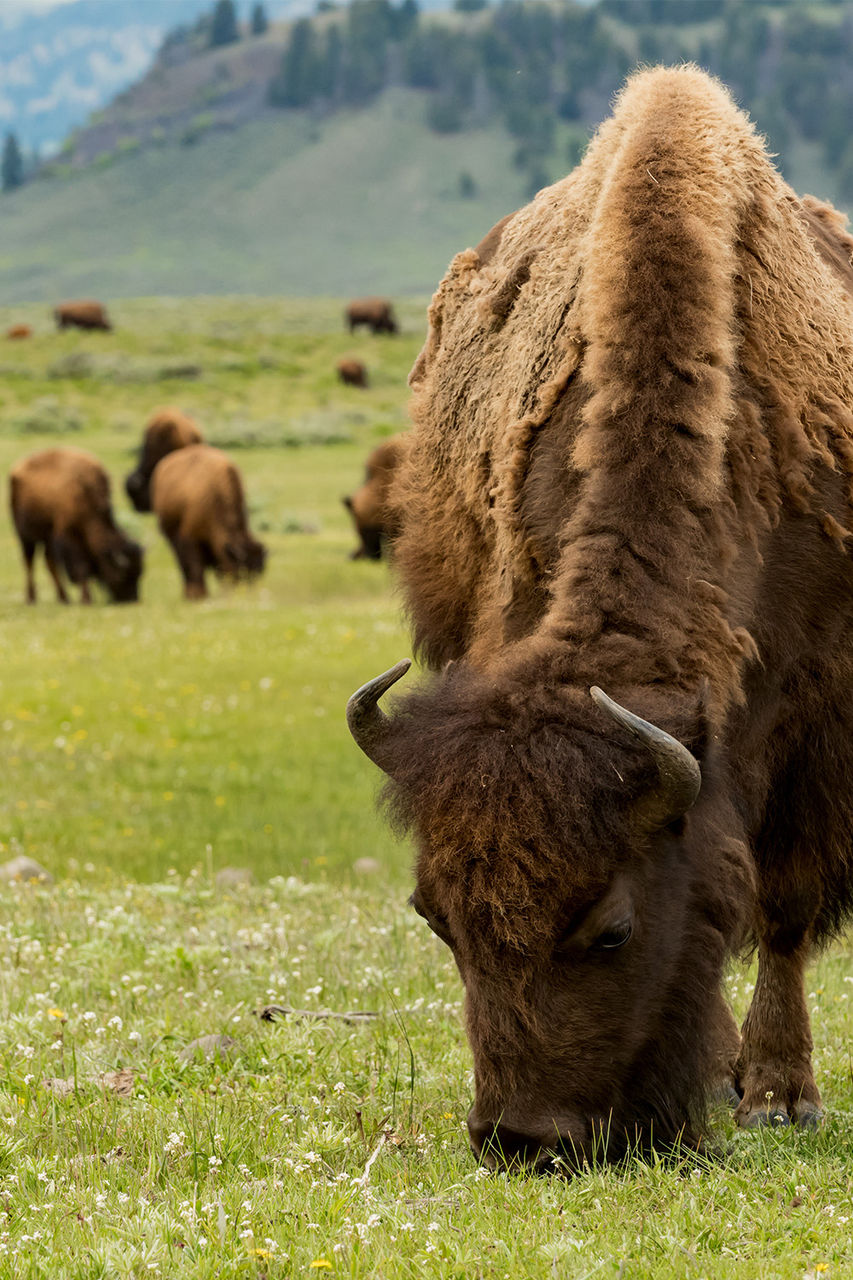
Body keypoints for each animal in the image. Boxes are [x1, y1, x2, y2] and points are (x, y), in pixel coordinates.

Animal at [10, 448, 143, 604]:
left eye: (139, 572)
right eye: (122, 575)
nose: (131, 599)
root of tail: (18, 468)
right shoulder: (69, 536)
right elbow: (81, 567)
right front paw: (86, 599)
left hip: (47, 536)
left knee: (50, 563)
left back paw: (63, 598)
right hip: (25, 536)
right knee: (29, 563)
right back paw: (31, 598)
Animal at [152, 444, 266, 599]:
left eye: (257, 574)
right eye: (239, 572)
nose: (242, 595)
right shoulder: (191, 538)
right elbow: (195, 566)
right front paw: (198, 595)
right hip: (170, 534)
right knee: (182, 563)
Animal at [347, 66, 853, 1170]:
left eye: (612, 929)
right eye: (437, 920)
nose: (522, 1138)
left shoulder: (818, 723)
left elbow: (782, 902)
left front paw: (778, 1094)